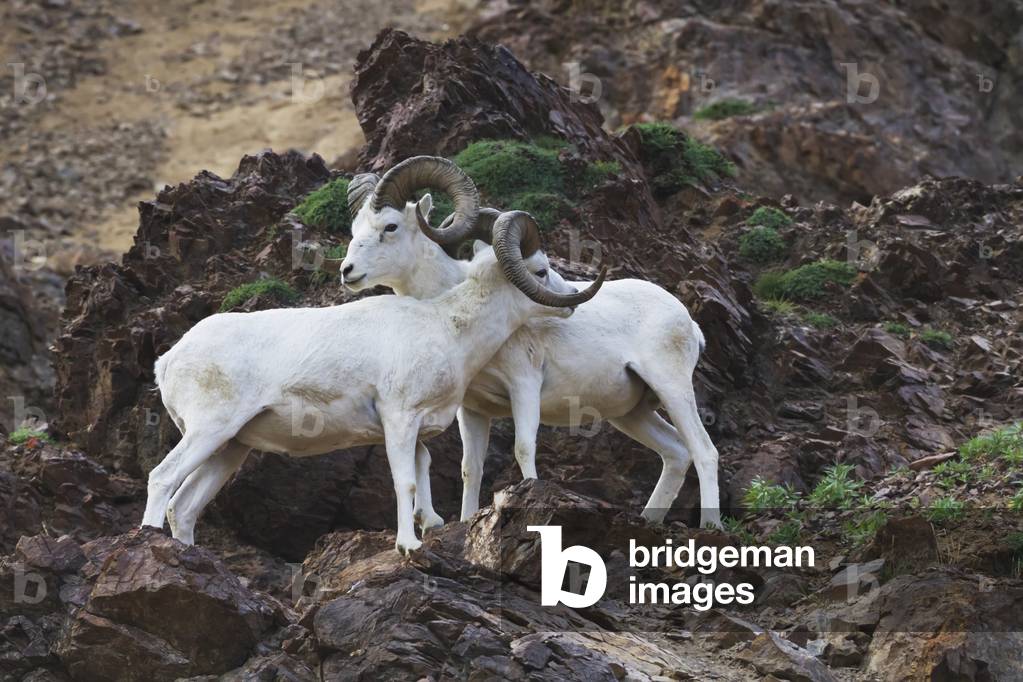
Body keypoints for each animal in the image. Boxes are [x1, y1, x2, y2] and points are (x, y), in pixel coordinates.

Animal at [141, 157, 606, 554]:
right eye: (541, 270)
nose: (570, 299)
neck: (445, 326)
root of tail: (168, 362)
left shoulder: (414, 429)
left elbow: (421, 469)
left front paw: (429, 525)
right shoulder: (398, 419)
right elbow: (405, 483)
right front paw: (408, 546)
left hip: (229, 447)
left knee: (184, 508)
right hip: (209, 430)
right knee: (162, 480)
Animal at [339, 162, 722, 530]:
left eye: (390, 227)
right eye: (355, 230)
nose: (348, 271)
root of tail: (688, 322)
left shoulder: (524, 386)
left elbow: (524, 448)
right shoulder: (473, 410)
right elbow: (471, 467)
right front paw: (465, 520)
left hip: (671, 388)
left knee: (704, 451)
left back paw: (712, 525)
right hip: (632, 413)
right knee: (676, 453)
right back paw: (649, 520)